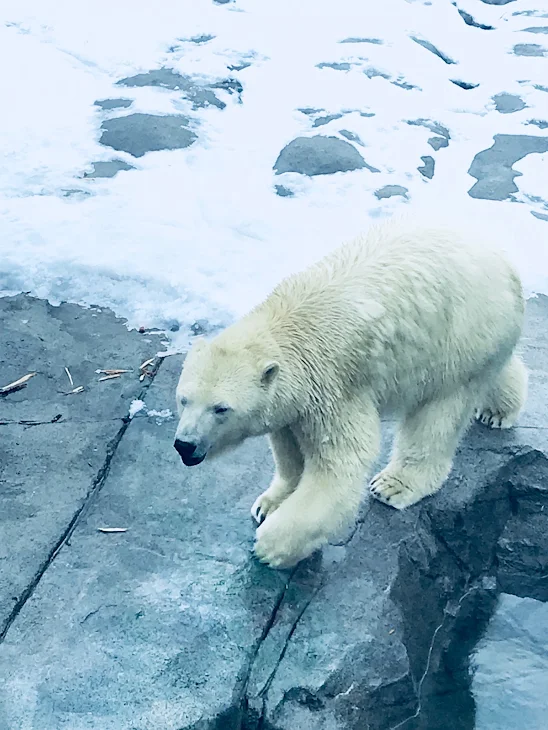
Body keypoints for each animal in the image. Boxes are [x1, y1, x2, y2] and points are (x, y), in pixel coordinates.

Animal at [174, 216, 528, 568]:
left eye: (221, 408)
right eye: (183, 399)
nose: (184, 444)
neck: (286, 322)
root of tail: (507, 262)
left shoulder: (331, 385)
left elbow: (339, 466)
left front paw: (271, 545)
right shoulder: (296, 401)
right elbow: (288, 448)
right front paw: (269, 503)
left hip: (458, 336)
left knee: (438, 415)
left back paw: (393, 484)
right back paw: (498, 410)